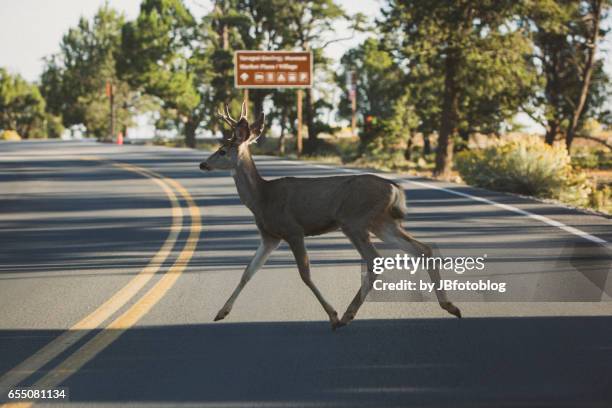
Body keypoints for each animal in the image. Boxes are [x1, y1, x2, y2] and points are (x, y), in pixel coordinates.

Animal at [198, 101, 462, 328]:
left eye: (222, 151)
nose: (203, 164)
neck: (262, 199)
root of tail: (394, 187)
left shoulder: (293, 230)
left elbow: (304, 274)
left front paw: (332, 315)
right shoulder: (270, 236)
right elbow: (247, 272)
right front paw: (221, 312)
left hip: (354, 221)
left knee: (375, 259)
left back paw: (346, 316)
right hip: (381, 222)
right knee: (422, 248)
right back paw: (450, 306)